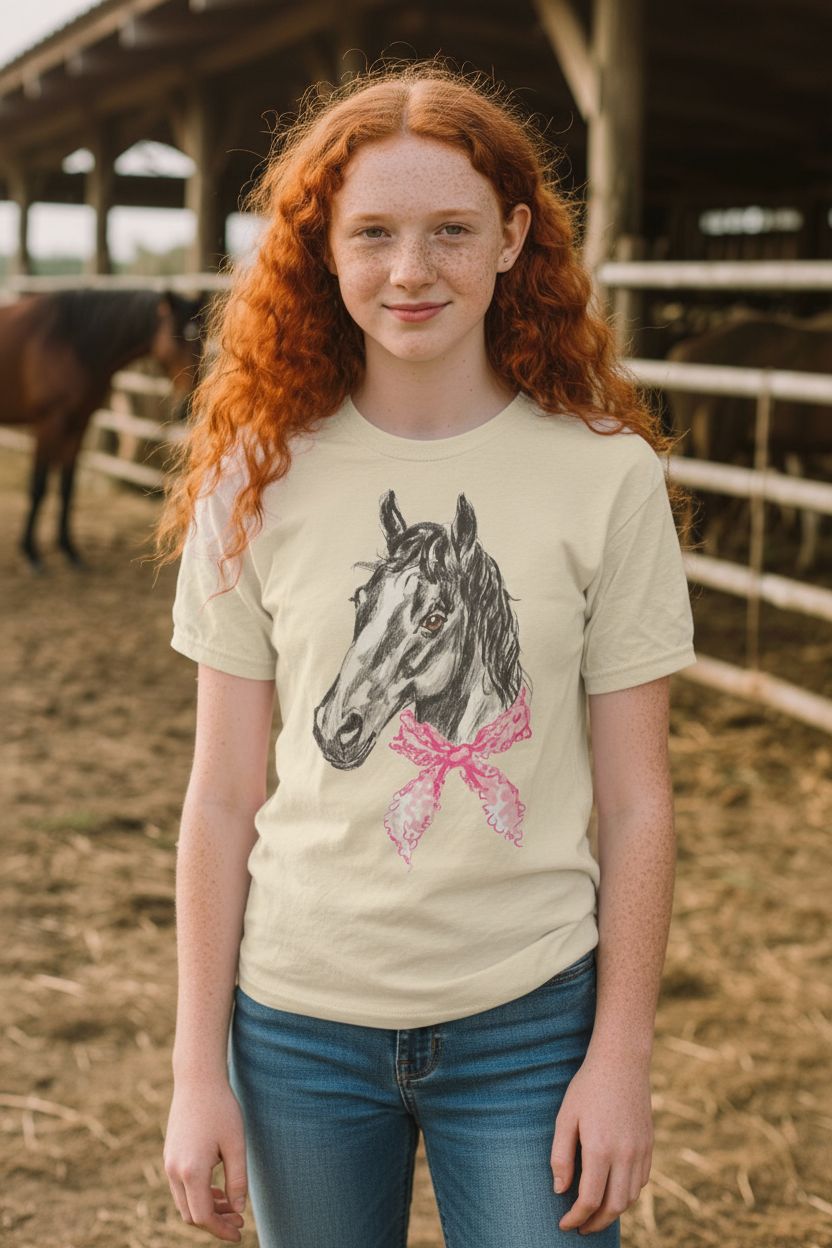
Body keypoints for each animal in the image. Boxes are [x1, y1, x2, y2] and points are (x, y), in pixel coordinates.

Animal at [0, 287, 204, 572]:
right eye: (175, 338)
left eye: (202, 338)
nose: (186, 405)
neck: (71, 341)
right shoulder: (49, 424)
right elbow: (38, 487)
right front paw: (31, 554)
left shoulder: (79, 423)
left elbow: (67, 486)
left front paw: (69, 550)